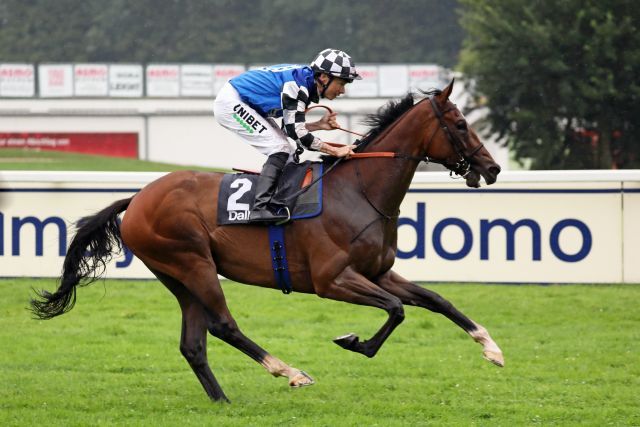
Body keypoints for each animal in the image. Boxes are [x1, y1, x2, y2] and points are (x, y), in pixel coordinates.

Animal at [32, 81, 504, 404]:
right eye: (461, 124)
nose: (493, 168)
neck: (359, 190)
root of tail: (138, 197)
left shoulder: (378, 271)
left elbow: (436, 300)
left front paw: (491, 348)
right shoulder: (332, 280)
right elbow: (397, 310)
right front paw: (355, 342)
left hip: (177, 277)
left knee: (193, 343)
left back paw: (222, 400)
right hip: (192, 263)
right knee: (223, 326)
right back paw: (290, 372)